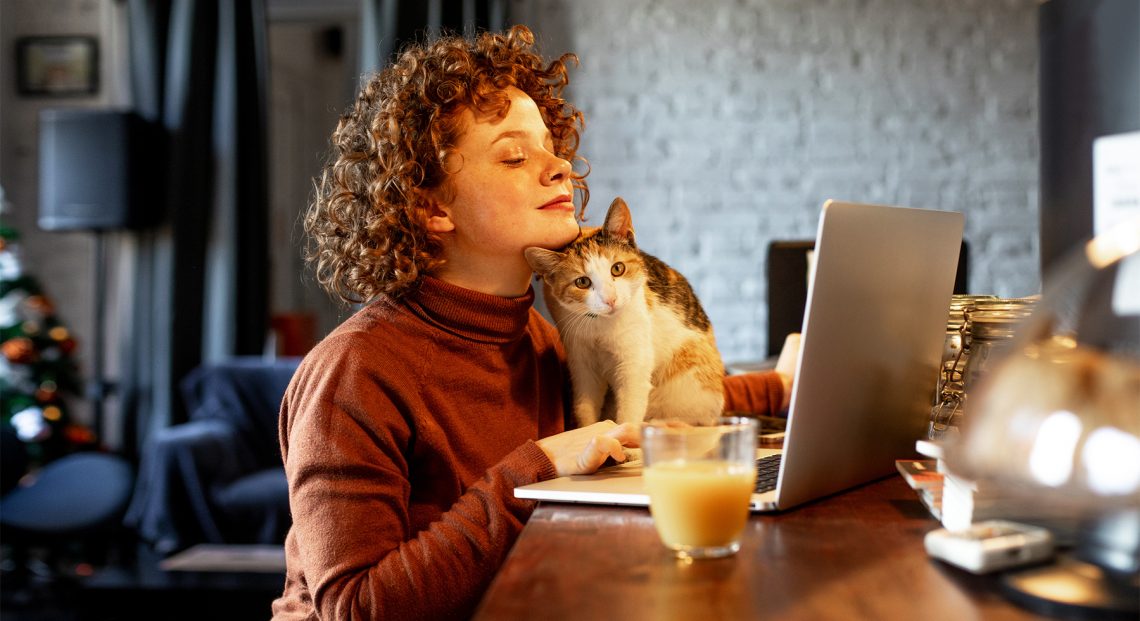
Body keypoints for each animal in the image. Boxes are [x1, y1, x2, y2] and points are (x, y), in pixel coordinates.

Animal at [522, 197, 720, 426]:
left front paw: (626, 431)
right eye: (582, 282)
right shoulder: (581, 361)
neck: (600, 326)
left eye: (617, 268)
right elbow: (584, 405)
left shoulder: (634, 360)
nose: (610, 299)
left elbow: (630, 407)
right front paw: (590, 428)